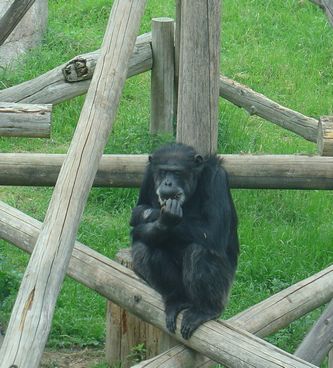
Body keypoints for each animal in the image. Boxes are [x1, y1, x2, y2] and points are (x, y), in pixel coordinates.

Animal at [130, 143, 239, 340]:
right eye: (163, 172)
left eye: (177, 173)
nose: (168, 182)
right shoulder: (148, 175)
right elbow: (139, 212)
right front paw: (161, 222)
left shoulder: (216, 179)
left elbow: (212, 230)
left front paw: (161, 216)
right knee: (143, 248)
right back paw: (175, 301)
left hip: (225, 289)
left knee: (199, 251)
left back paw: (205, 310)